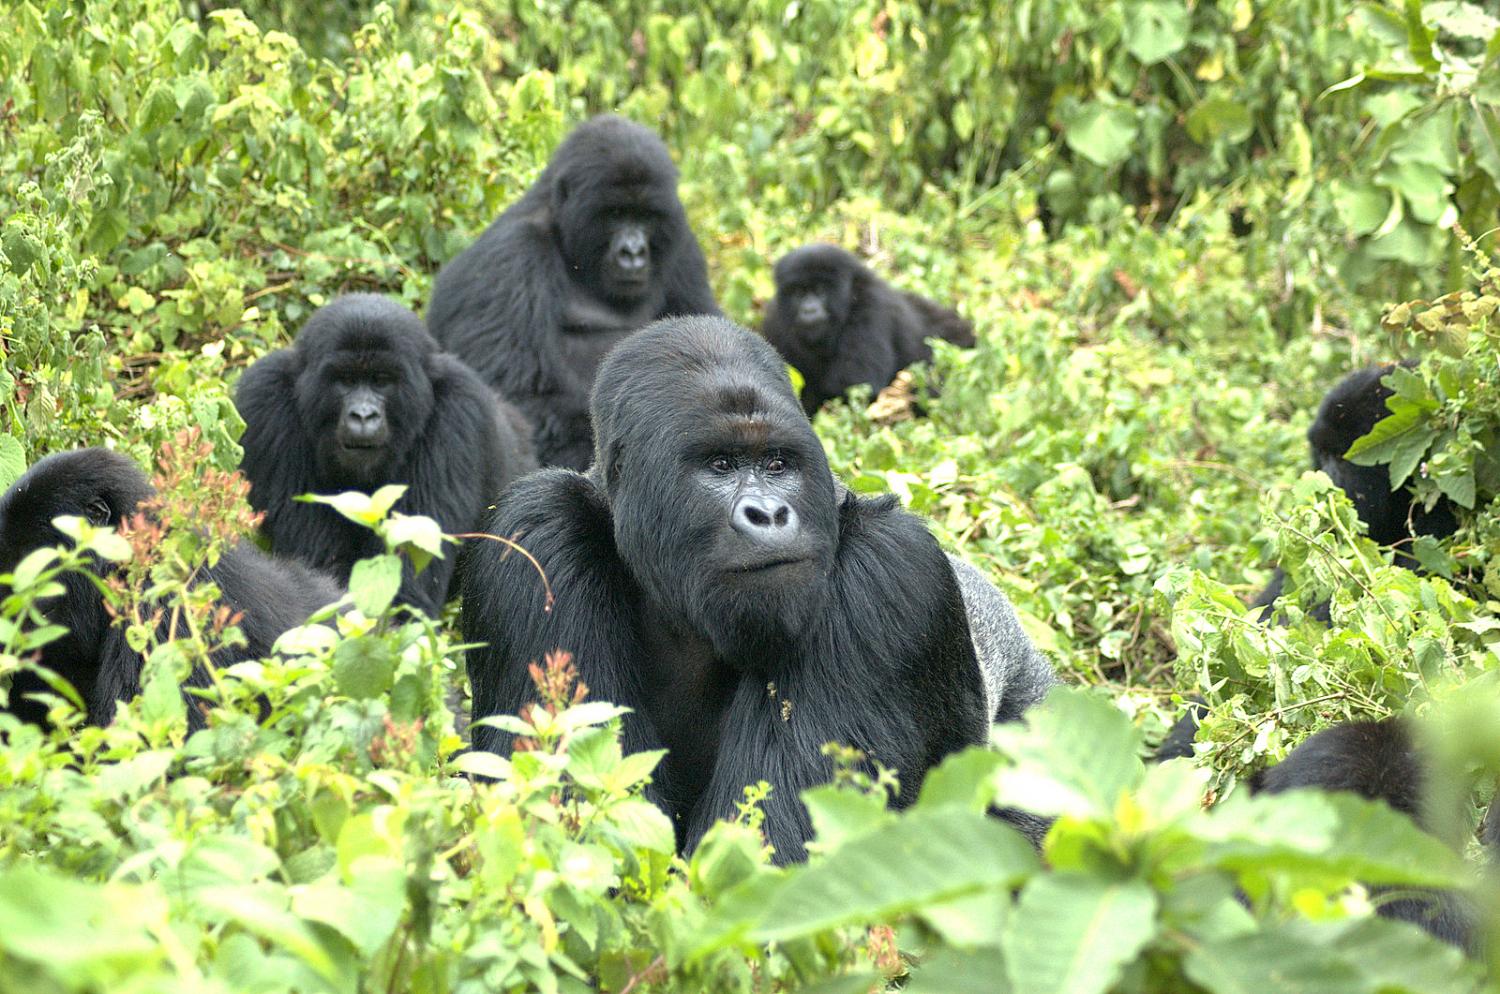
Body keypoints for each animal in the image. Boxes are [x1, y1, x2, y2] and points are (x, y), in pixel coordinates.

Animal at [234, 293, 534, 614]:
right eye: (346, 380)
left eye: (381, 380)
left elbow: (404, 590)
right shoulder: (266, 400)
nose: (363, 416)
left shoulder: (459, 412)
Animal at [426, 114, 723, 473]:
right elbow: (525, 398)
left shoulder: (683, 247)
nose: (634, 252)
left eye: (646, 216)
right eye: (615, 214)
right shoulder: (509, 257)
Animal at [762, 244, 972, 416]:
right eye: (799, 292)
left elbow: (855, 385)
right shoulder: (775, 321)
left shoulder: (871, 307)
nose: (808, 310)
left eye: (820, 291)